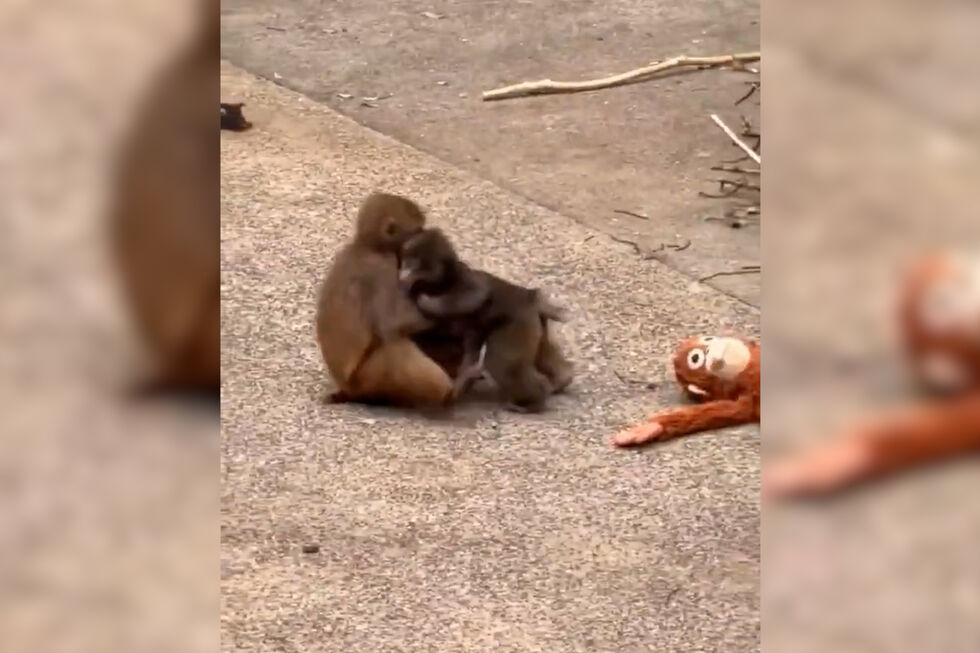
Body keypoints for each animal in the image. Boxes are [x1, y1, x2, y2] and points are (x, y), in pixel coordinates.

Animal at [316, 193, 471, 408]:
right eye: (418, 230)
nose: (423, 236)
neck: (369, 247)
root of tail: (347, 388)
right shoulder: (383, 270)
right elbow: (395, 323)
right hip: (370, 378)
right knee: (394, 346)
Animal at [398, 228, 574, 412]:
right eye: (407, 261)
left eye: (415, 264)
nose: (404, 273)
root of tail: (531, 298)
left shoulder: (463, 279)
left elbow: (477, 293)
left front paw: (425, 301)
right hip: (534, 323)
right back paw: (562, 379)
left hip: (518, 322)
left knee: (502, 362)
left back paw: (533, 402)